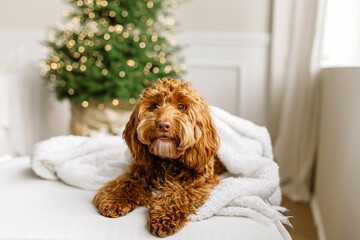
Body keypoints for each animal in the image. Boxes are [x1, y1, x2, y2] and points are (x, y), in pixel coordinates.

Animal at [94, 78, 224, 236]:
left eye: (181, 106)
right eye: (155, 105)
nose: (163, 125)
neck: (167, 161)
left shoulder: (200, 183)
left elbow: (179, 194)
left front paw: (164, 218)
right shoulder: (136, 172)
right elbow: (124, 183)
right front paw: (114, 200)